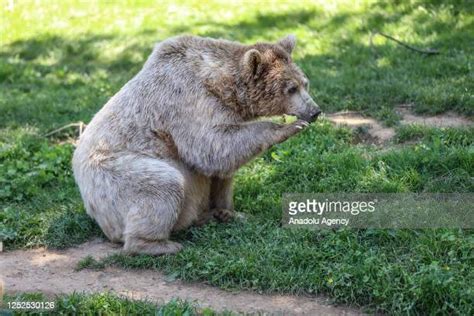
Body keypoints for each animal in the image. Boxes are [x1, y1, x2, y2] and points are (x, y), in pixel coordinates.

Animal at [71, 34, 322, 256]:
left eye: (305, 83)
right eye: (291, 88)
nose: (315, 111)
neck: (220, 85)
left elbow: (222, 171)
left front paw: (230, 212)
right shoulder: (186, 100)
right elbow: (210, 145)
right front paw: (288, 127)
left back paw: (208, 217)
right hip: (112, 176)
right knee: (162, 185)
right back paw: (157, 244)